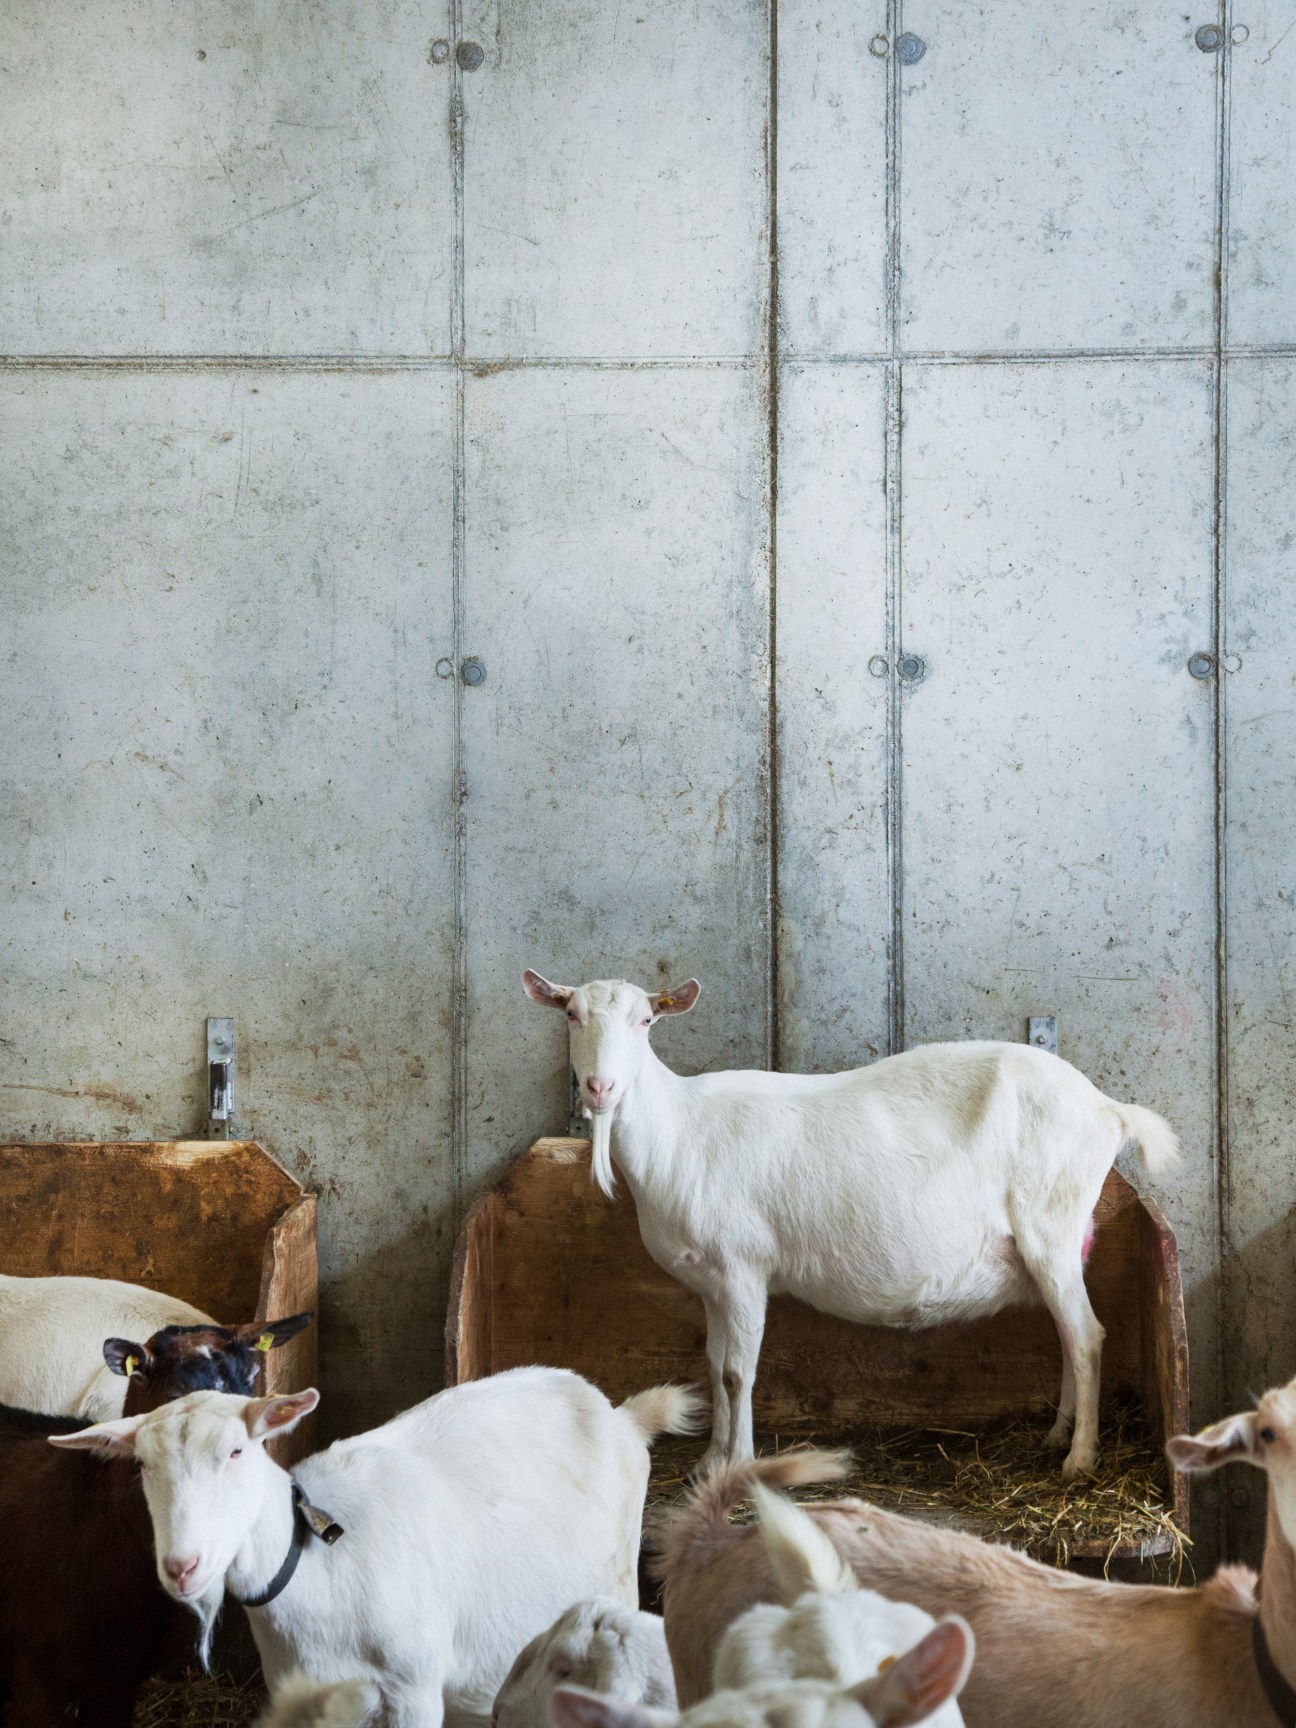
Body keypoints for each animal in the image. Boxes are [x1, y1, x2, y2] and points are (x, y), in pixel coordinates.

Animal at [523, 971, 1180, 1477]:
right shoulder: (711, 1281)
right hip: (1054, 1246)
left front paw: (738, 1465)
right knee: (1069, 1335)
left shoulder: (743, 1268)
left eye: (645, 1021)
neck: (681, 1130)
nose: (600, 1088)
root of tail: (1108, 1108)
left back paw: (1080, 1459)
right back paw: (1056, 1436)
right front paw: (710, 1461)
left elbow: (738, 1372)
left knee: (1087, 1336)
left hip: (1052, 1223)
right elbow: (713, 1366)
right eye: (571, 1015)